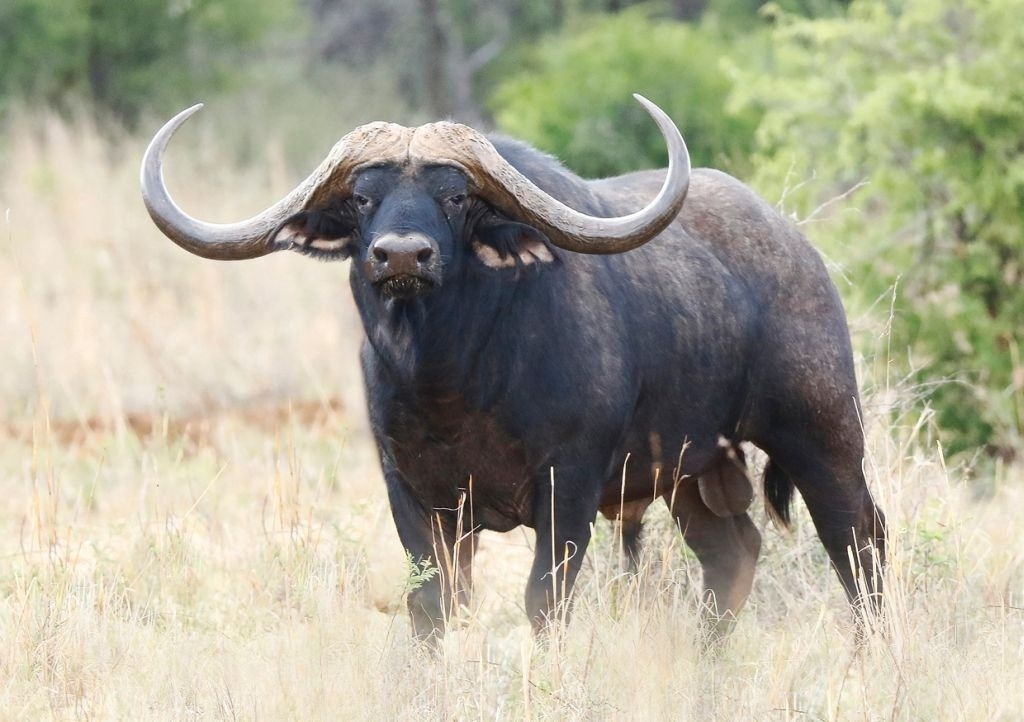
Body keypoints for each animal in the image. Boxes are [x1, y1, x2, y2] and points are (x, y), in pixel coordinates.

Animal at [140, 94, 884, 634]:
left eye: (455, 197)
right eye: (361, 197)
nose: (401, 255)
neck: (454, 381)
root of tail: (799, 249)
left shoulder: (570, 487)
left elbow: (543, 601)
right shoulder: (414, 494)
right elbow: (433, 604)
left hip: (823, 436)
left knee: (858, 544)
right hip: (691, 474)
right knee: (733, 553)